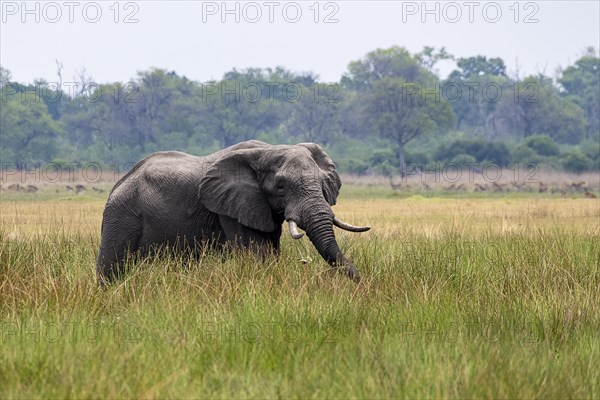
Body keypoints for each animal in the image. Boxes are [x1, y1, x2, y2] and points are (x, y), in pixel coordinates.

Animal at [97, 141, 370, 284]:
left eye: (322, 183)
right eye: (281, 186)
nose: (361, 283)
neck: (268, 150)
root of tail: (118, 183)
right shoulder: (231, 209)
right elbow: (257, 254)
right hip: (121, 216)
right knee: (111, 266)